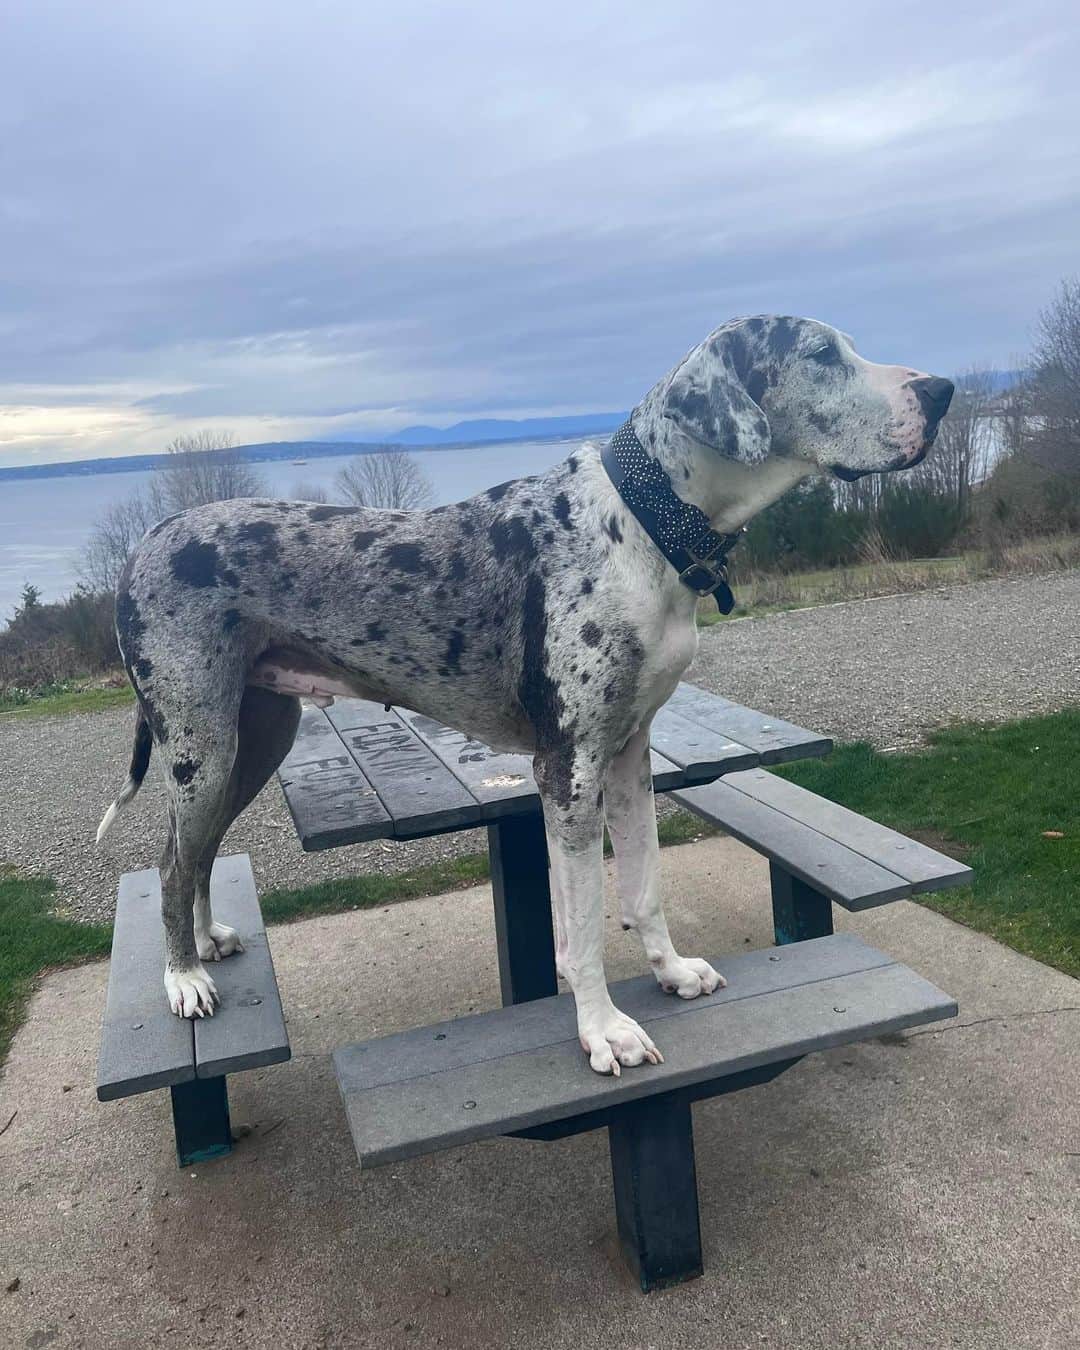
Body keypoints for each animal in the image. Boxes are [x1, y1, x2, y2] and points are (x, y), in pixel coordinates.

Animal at [97, 315, 950, 1074]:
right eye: (819, 353)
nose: (941, 390)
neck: (642, 524)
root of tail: (142, 544)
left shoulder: (629, 753)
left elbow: (644, 885)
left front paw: (672, 972)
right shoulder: (567, 768)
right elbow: (583, 922)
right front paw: (604, 1030)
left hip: (255, 739)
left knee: (199, 850)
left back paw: (207, 942)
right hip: (203, 748)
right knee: (170, 862)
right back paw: (183, 979)